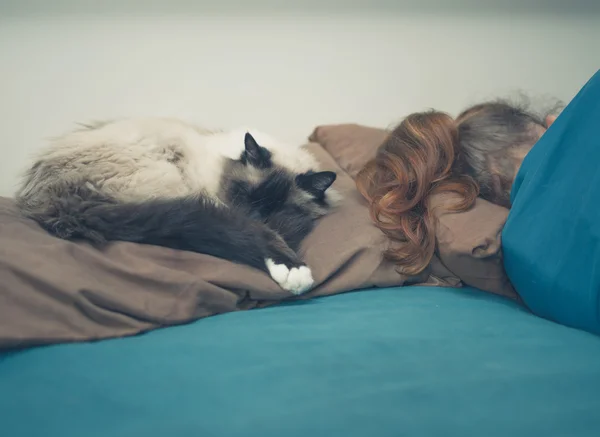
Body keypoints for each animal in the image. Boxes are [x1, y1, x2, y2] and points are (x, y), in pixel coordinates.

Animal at [15, 116, 342, 292]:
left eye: (277, 208)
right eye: (244, 195)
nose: (256, 216)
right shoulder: (221, 206)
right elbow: (255, 234)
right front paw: (293, 271)